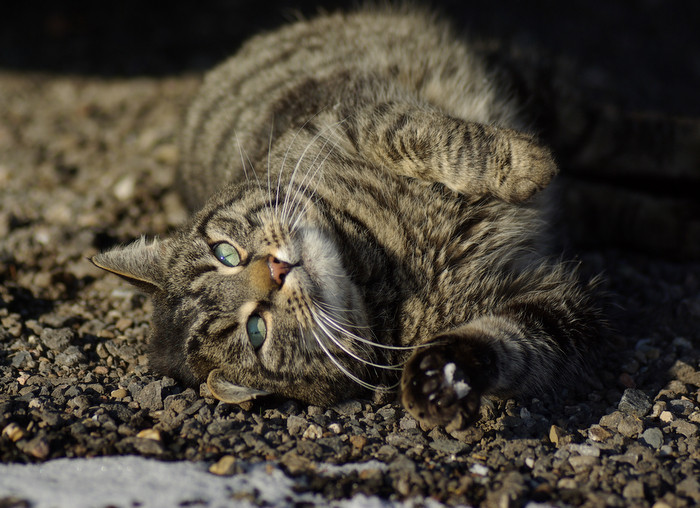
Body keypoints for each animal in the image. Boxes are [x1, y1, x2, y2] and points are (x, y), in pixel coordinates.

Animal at [91, 5, 600, 430]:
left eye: (226, 253)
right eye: (257, 331)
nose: (276, 270)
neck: (384, 267)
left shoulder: (358, 120)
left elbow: (438, 142)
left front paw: (527, 166)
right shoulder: (547, 304)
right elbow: (509, 344)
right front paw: (437, 381)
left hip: (556, 98)